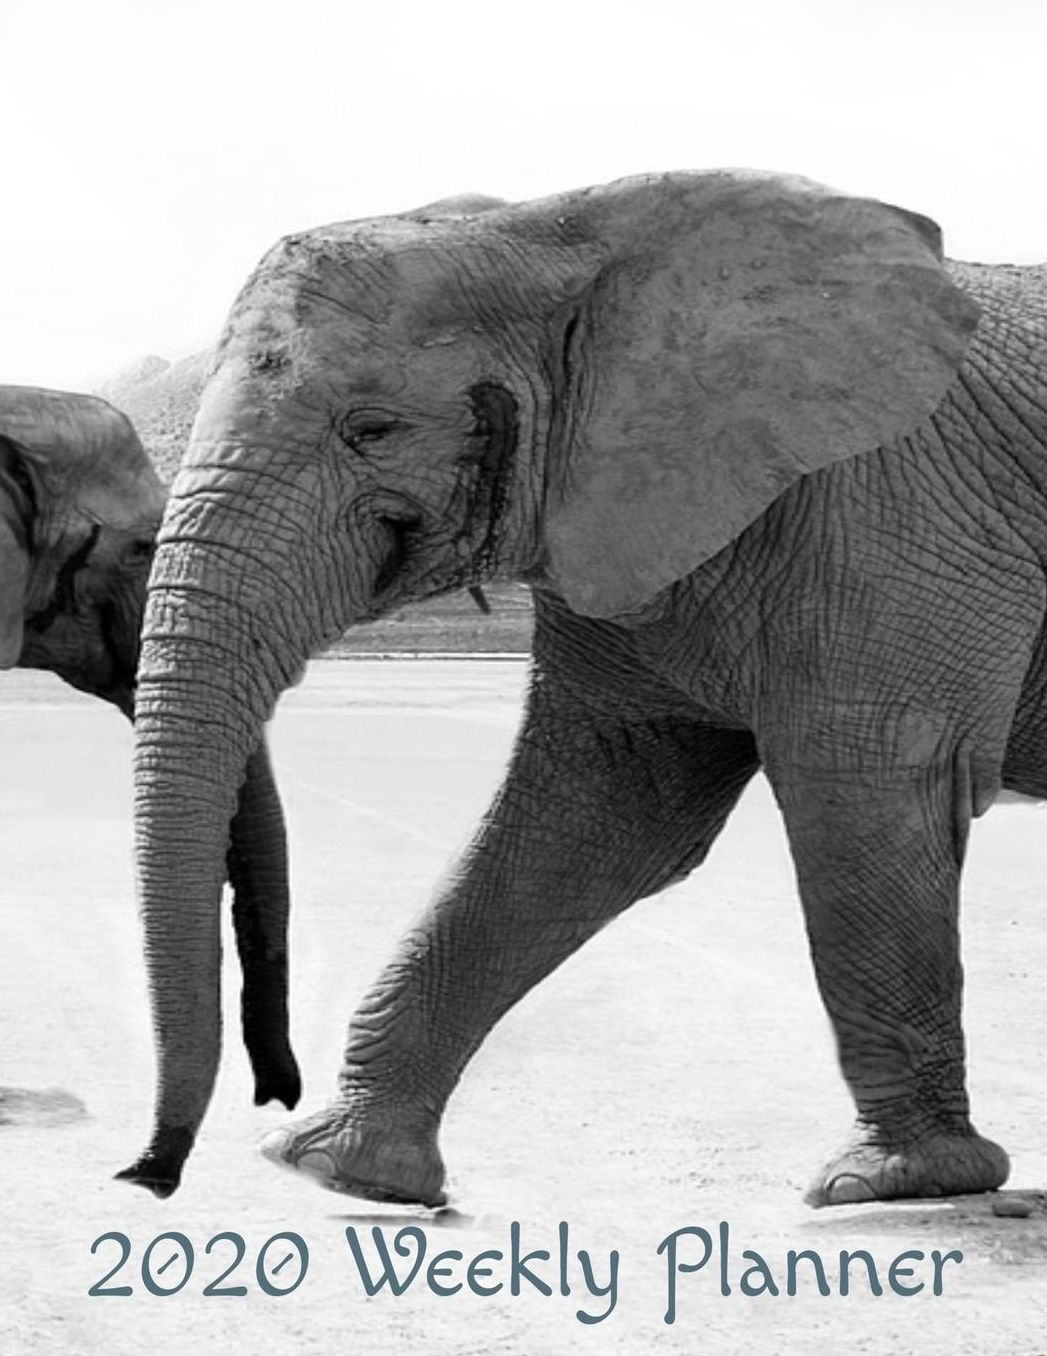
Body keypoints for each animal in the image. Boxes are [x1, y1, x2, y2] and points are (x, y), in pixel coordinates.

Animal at [117, 169, 1047, 1207]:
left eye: (371, 430)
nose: (149, 1176)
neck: (553, 234)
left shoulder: (888, 514)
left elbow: (867, 798)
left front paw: (895, 1184)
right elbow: (591, 818)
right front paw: (342, 1171)